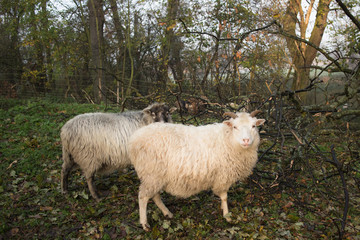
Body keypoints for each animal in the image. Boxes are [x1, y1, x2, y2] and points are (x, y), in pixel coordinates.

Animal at [129, 110, 264, 231]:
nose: (246, 140)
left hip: (155, 176)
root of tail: (134, 138)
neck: (227, 138)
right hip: (151, 174)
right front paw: (227, 216)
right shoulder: (223, 176)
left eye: (253, 126)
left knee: (155, 196)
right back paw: (144, 224)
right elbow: (224, 197)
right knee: (143, 197)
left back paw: (167, 213)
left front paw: (223, 209)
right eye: (235, 127)